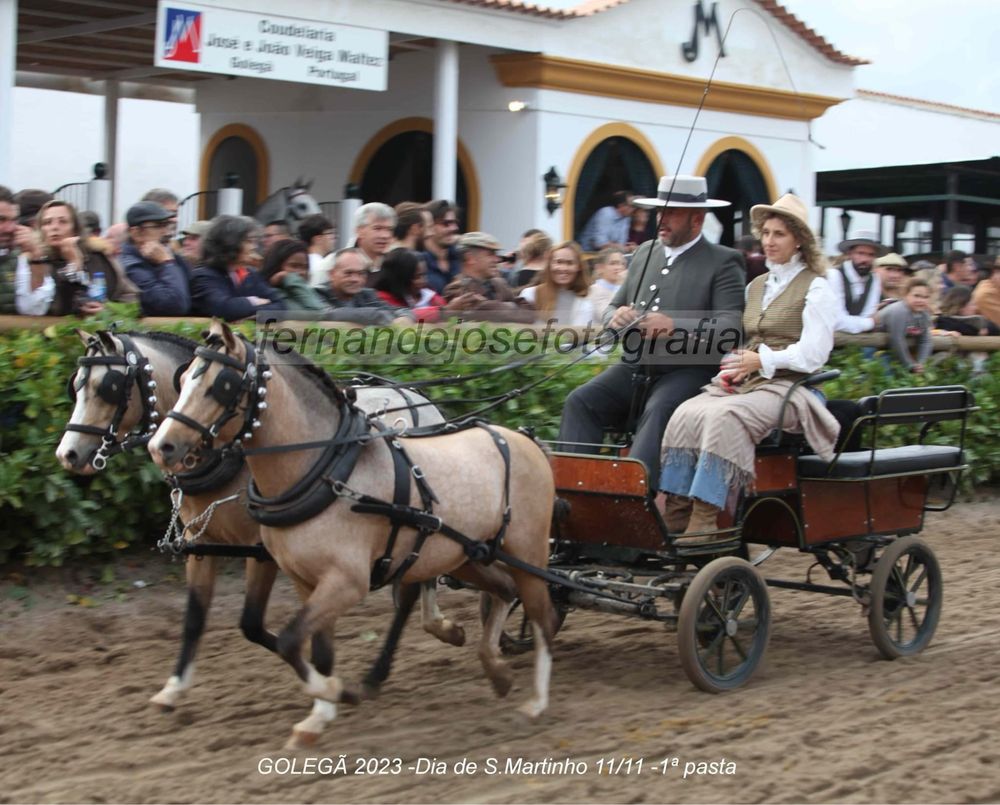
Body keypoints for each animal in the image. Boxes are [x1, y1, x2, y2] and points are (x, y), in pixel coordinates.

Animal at [55, 326, 492, 740]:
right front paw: (174, 688)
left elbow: (252, 624)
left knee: (417, 585)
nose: (68, 454)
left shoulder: (262, 552)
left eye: (108, 386)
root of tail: (417, 397)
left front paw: (330, 686)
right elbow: (195, 618)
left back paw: (399, 659)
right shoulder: (203, 546)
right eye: (76, 384)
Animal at [149, 322, 560, 748]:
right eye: (183, 378)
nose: (161, 446)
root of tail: (525, 440)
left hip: (528, 553)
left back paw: (536, 701)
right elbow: (317, 649)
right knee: (503, 591)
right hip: (464, 554)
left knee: (542, 615)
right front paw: (319, 716)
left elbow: (290, 640)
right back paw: (496, 669)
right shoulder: (306, 581)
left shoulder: (345, 581)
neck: (325, 471)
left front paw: (335, 692)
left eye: (221, 385)